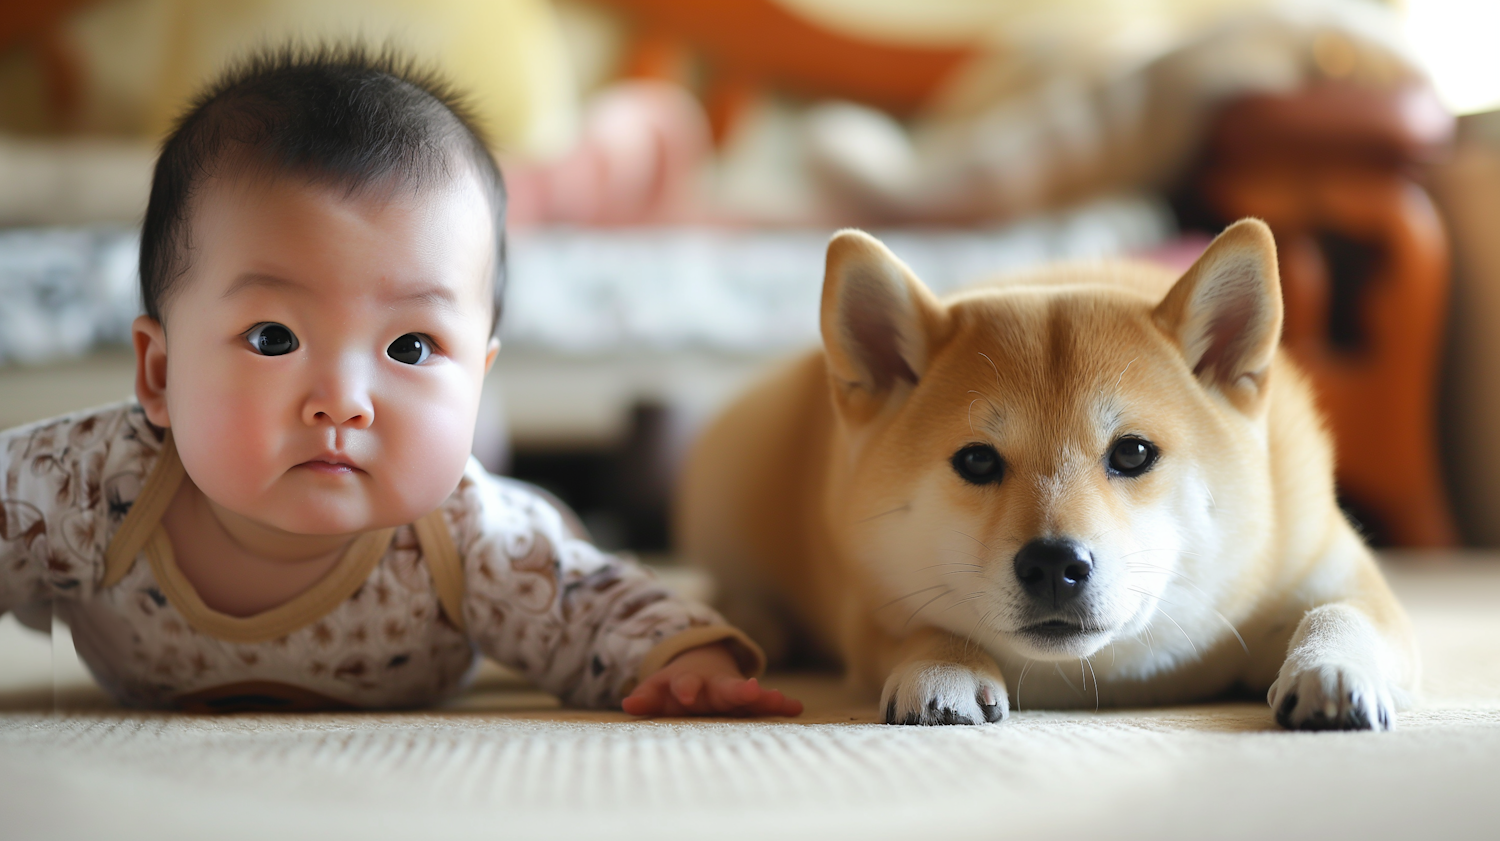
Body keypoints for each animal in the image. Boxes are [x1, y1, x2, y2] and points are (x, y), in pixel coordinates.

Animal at [681, 220, 1416, 725]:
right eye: (977, 460)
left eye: (1132, 453)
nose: (1054, 563)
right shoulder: (871, 612)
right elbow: (925, 626)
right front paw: (941, 666)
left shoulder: (1330, 569)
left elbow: (1343, 611)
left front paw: (1332, 666)